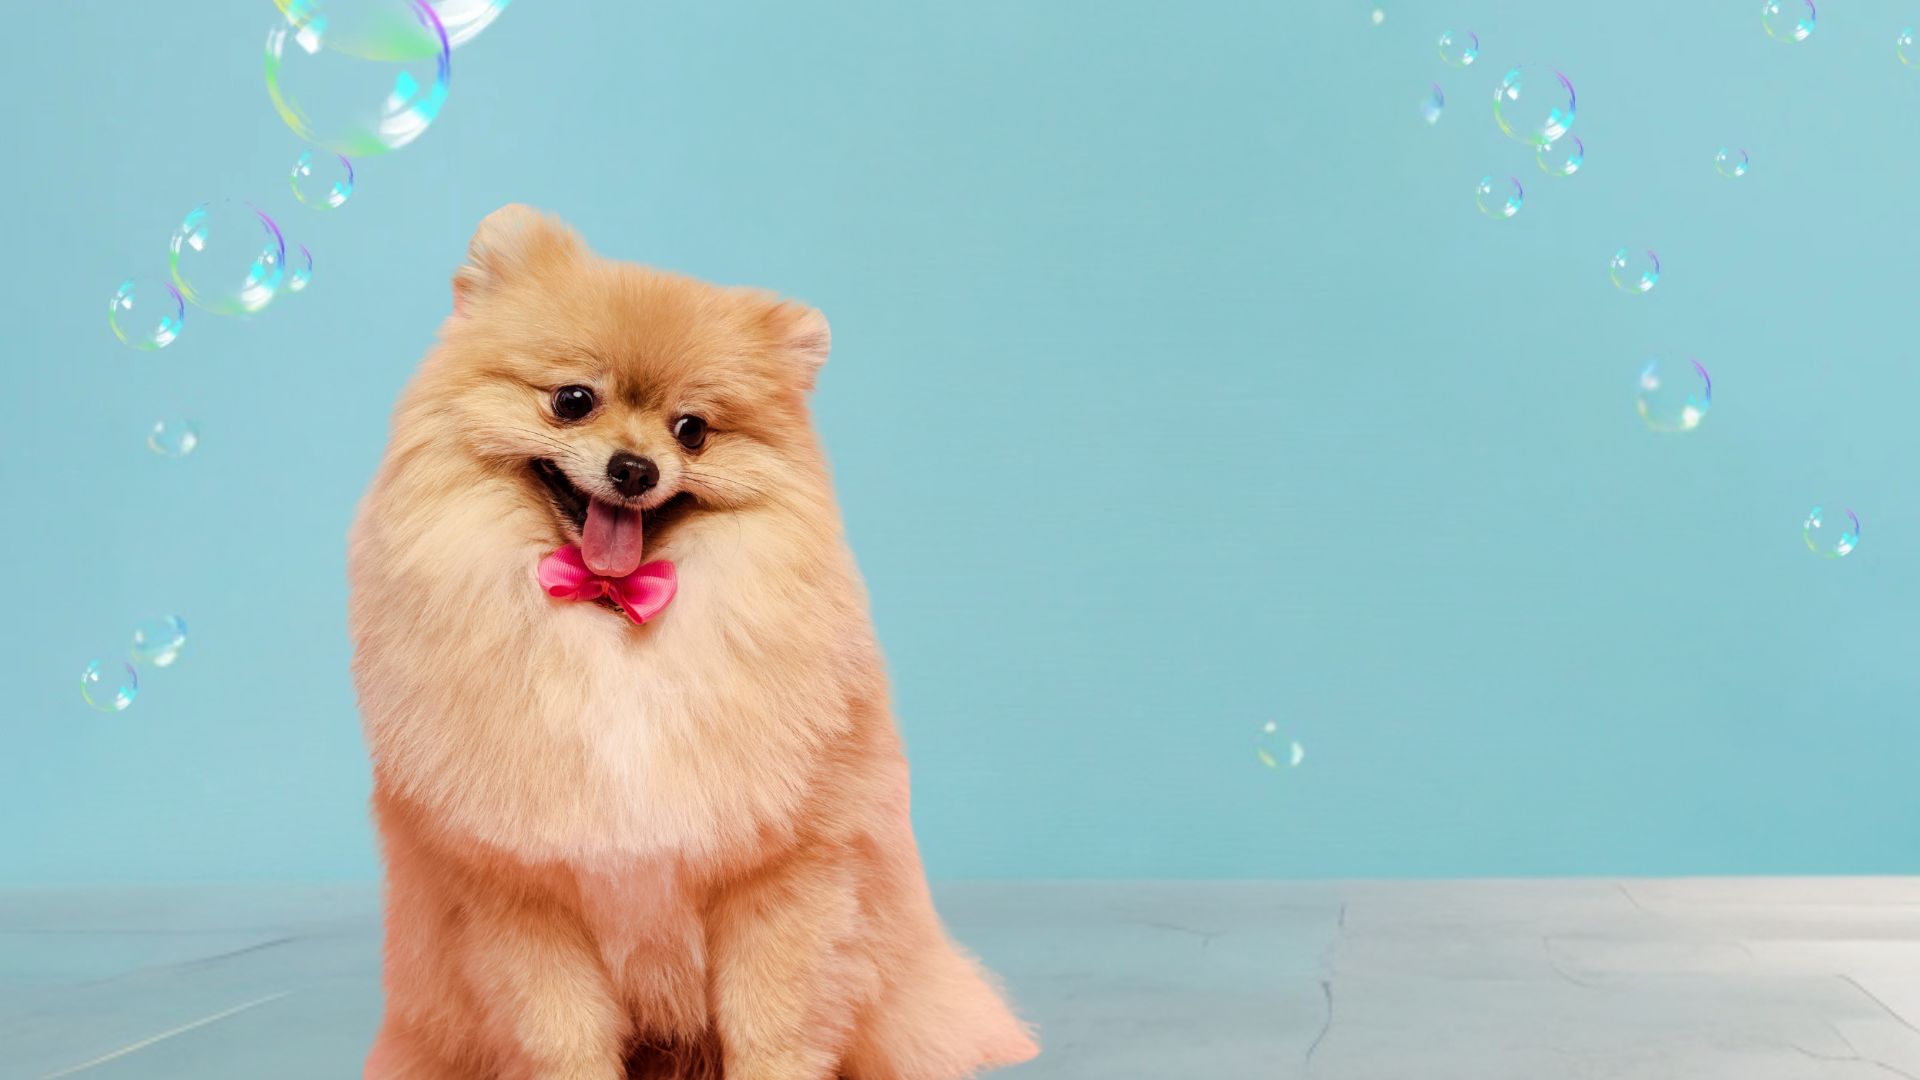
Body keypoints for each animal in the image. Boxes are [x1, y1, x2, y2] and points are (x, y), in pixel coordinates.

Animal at [347, 205, 1038, 1079]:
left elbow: (771, 1023)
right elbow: (561, 1034)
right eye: (572, 400)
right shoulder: (519, 892)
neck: (613, 613)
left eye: (694, 430)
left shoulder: (784, 873)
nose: (635, 468)